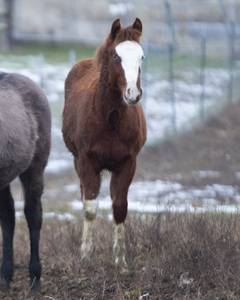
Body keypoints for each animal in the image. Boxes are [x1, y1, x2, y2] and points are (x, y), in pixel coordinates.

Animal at [62, 18, 146, 268]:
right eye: (117, 57)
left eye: (141, 56)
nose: (133, 94)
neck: (110, 118)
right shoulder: (86, 160)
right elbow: (90, 207)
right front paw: (86, 255)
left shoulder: (128, 162)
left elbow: (119, 207)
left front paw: (120, 260)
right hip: (77, 161)